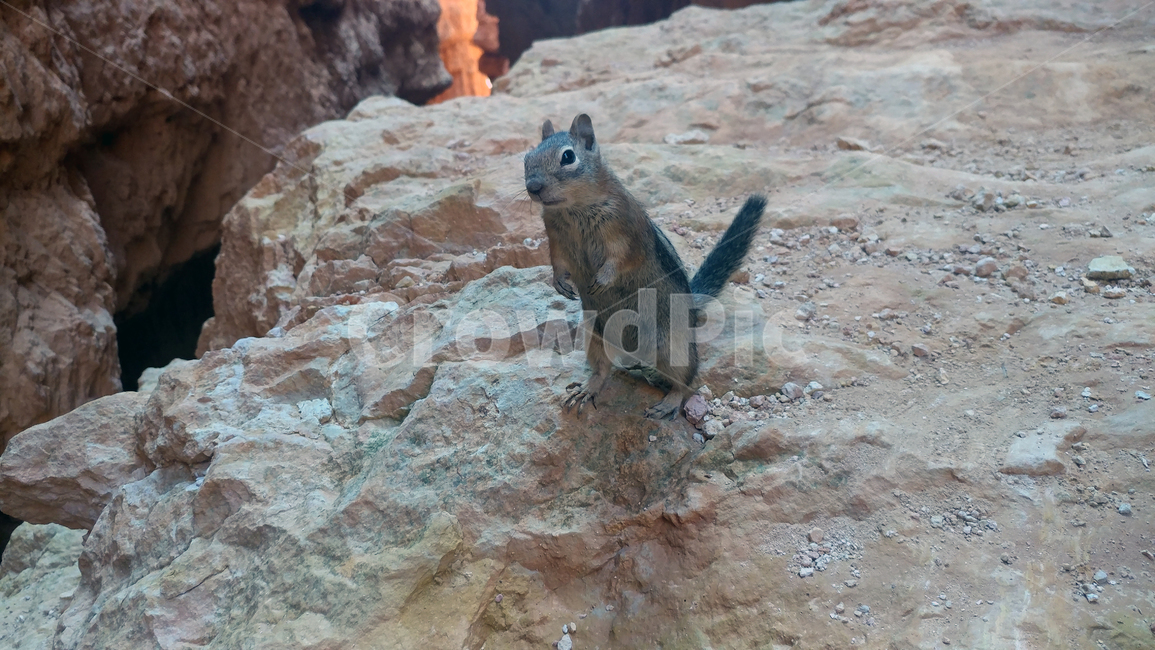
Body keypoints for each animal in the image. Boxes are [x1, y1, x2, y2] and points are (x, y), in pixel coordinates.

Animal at [523, 114, 765, 419]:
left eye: (568, 156)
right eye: (527, 157)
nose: (533, 188)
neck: (573, 209)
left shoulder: (626, 231)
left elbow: (621, 259)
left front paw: (603, 279)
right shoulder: (555, 239)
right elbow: (557, 263)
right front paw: (559, 283)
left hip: (674, 348)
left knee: (686, 381)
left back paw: (669, 403)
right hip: (595, 336)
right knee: (603, 368)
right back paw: (588, 389)